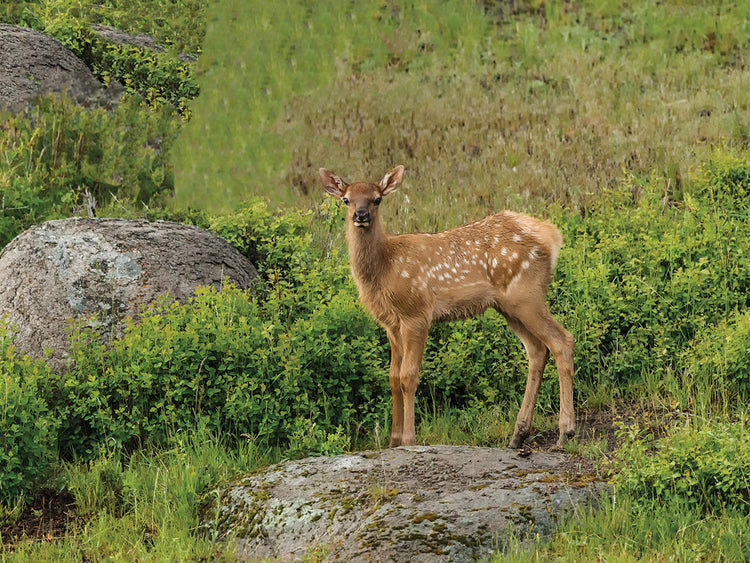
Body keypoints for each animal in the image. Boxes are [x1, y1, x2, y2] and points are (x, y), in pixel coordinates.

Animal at [319, 165, 575, 450]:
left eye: (377, 199)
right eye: (346, 199)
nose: (360, 215)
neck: (386, 268)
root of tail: (552, 235)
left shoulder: (416, 313)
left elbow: (408, 377)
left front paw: (409, 440)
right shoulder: (391, 324)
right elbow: (393, 378)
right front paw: (393, 442)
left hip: (527, 295)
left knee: (562, 340)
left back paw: (565, 432)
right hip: (509, 307)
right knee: (537, 350)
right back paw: (518, 435)